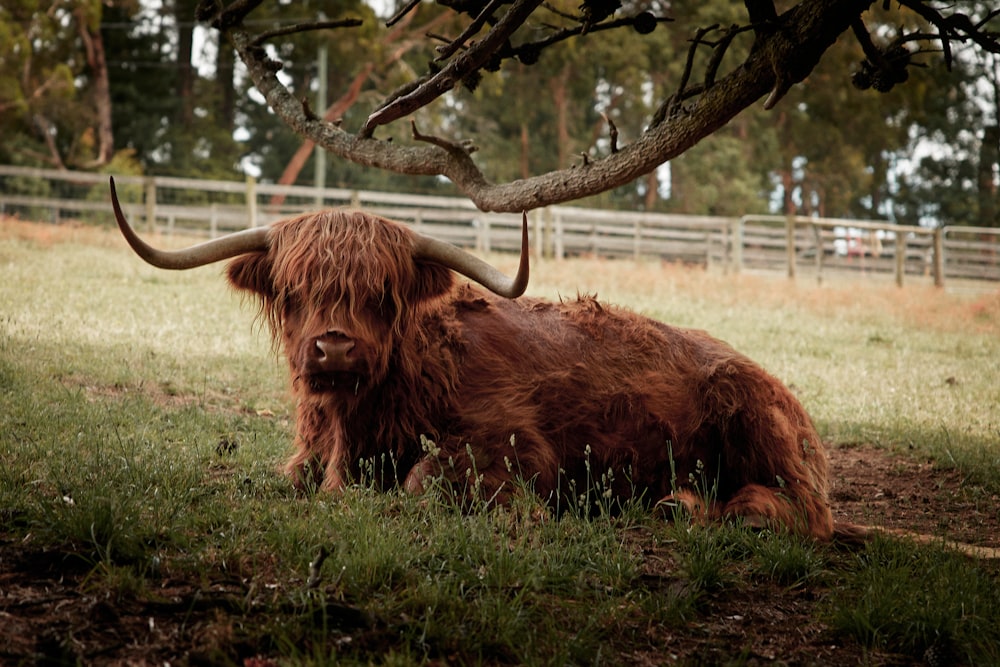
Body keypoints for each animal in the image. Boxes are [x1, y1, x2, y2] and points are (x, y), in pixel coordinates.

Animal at [109, 179, 832, 544]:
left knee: (804, 513)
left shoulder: (513, 443)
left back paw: (705, 509)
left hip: (754, 421)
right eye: (293, 291)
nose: (335, 346)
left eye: (382, 293)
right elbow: (291, 477)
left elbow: (424, 477)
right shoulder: (311, 454)